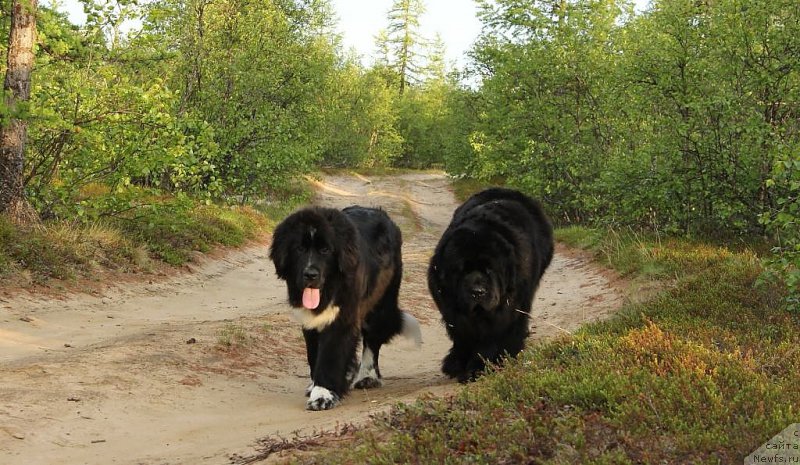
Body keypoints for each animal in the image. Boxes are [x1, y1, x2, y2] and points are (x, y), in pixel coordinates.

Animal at [268, 205, 422, 408]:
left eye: (325, 250)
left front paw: (322, 395)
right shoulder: (311, 321)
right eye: (299, 248)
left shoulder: (343, 318)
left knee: (372, 341)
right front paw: (316, 385)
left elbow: (331, 354)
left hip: (380, 303)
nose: (310, 274)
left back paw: (367, 377)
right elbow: (314, 353)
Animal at [428, 188, 552, 380]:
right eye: (462, 271)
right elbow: (462, 336)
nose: (477, 291)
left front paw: (480, 367)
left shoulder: (505, 311)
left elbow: (491, 339)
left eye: (490, 270)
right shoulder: (452, 311)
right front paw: (456, 364)